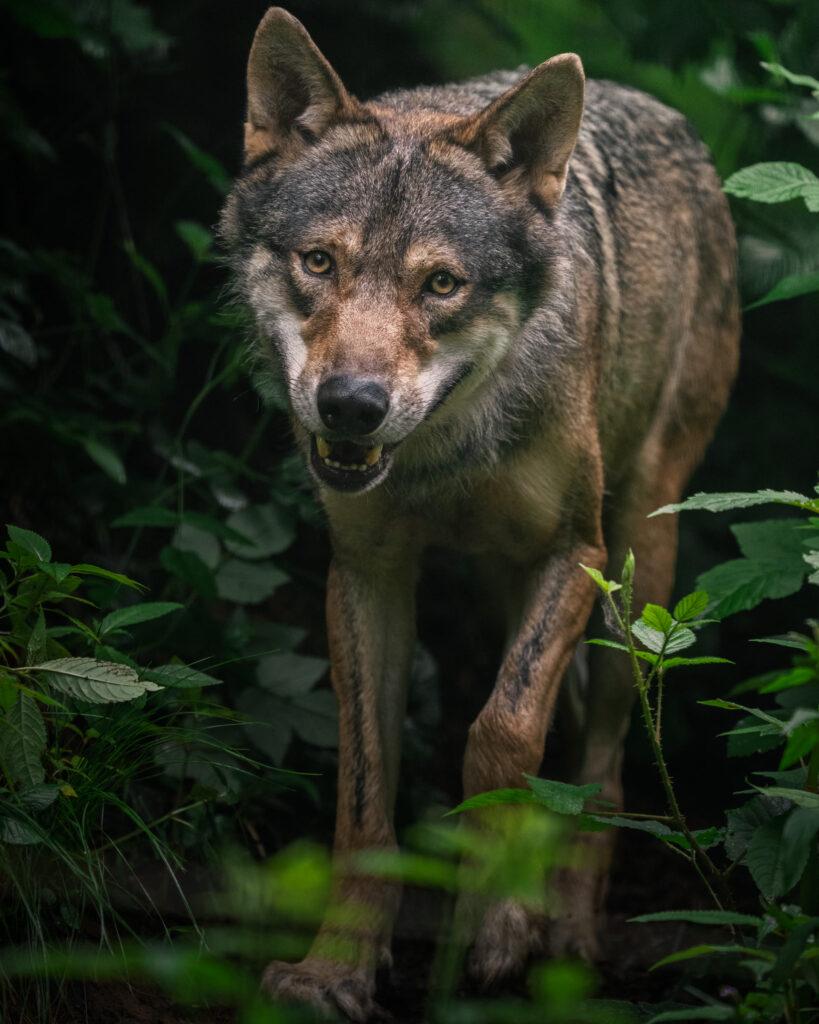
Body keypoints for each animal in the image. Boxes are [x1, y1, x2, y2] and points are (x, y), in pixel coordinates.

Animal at [221, 7, 739, 1019]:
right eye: (318, 262)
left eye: (441, 285)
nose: (350, 406)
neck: (443, 453)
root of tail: (671, 115)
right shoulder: (367, 575)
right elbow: (365, 793)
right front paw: (334, 971)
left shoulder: (573, 554)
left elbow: (499, 738)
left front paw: (490, 932)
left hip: (639, 574)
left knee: (603, 765)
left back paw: (562, 930)